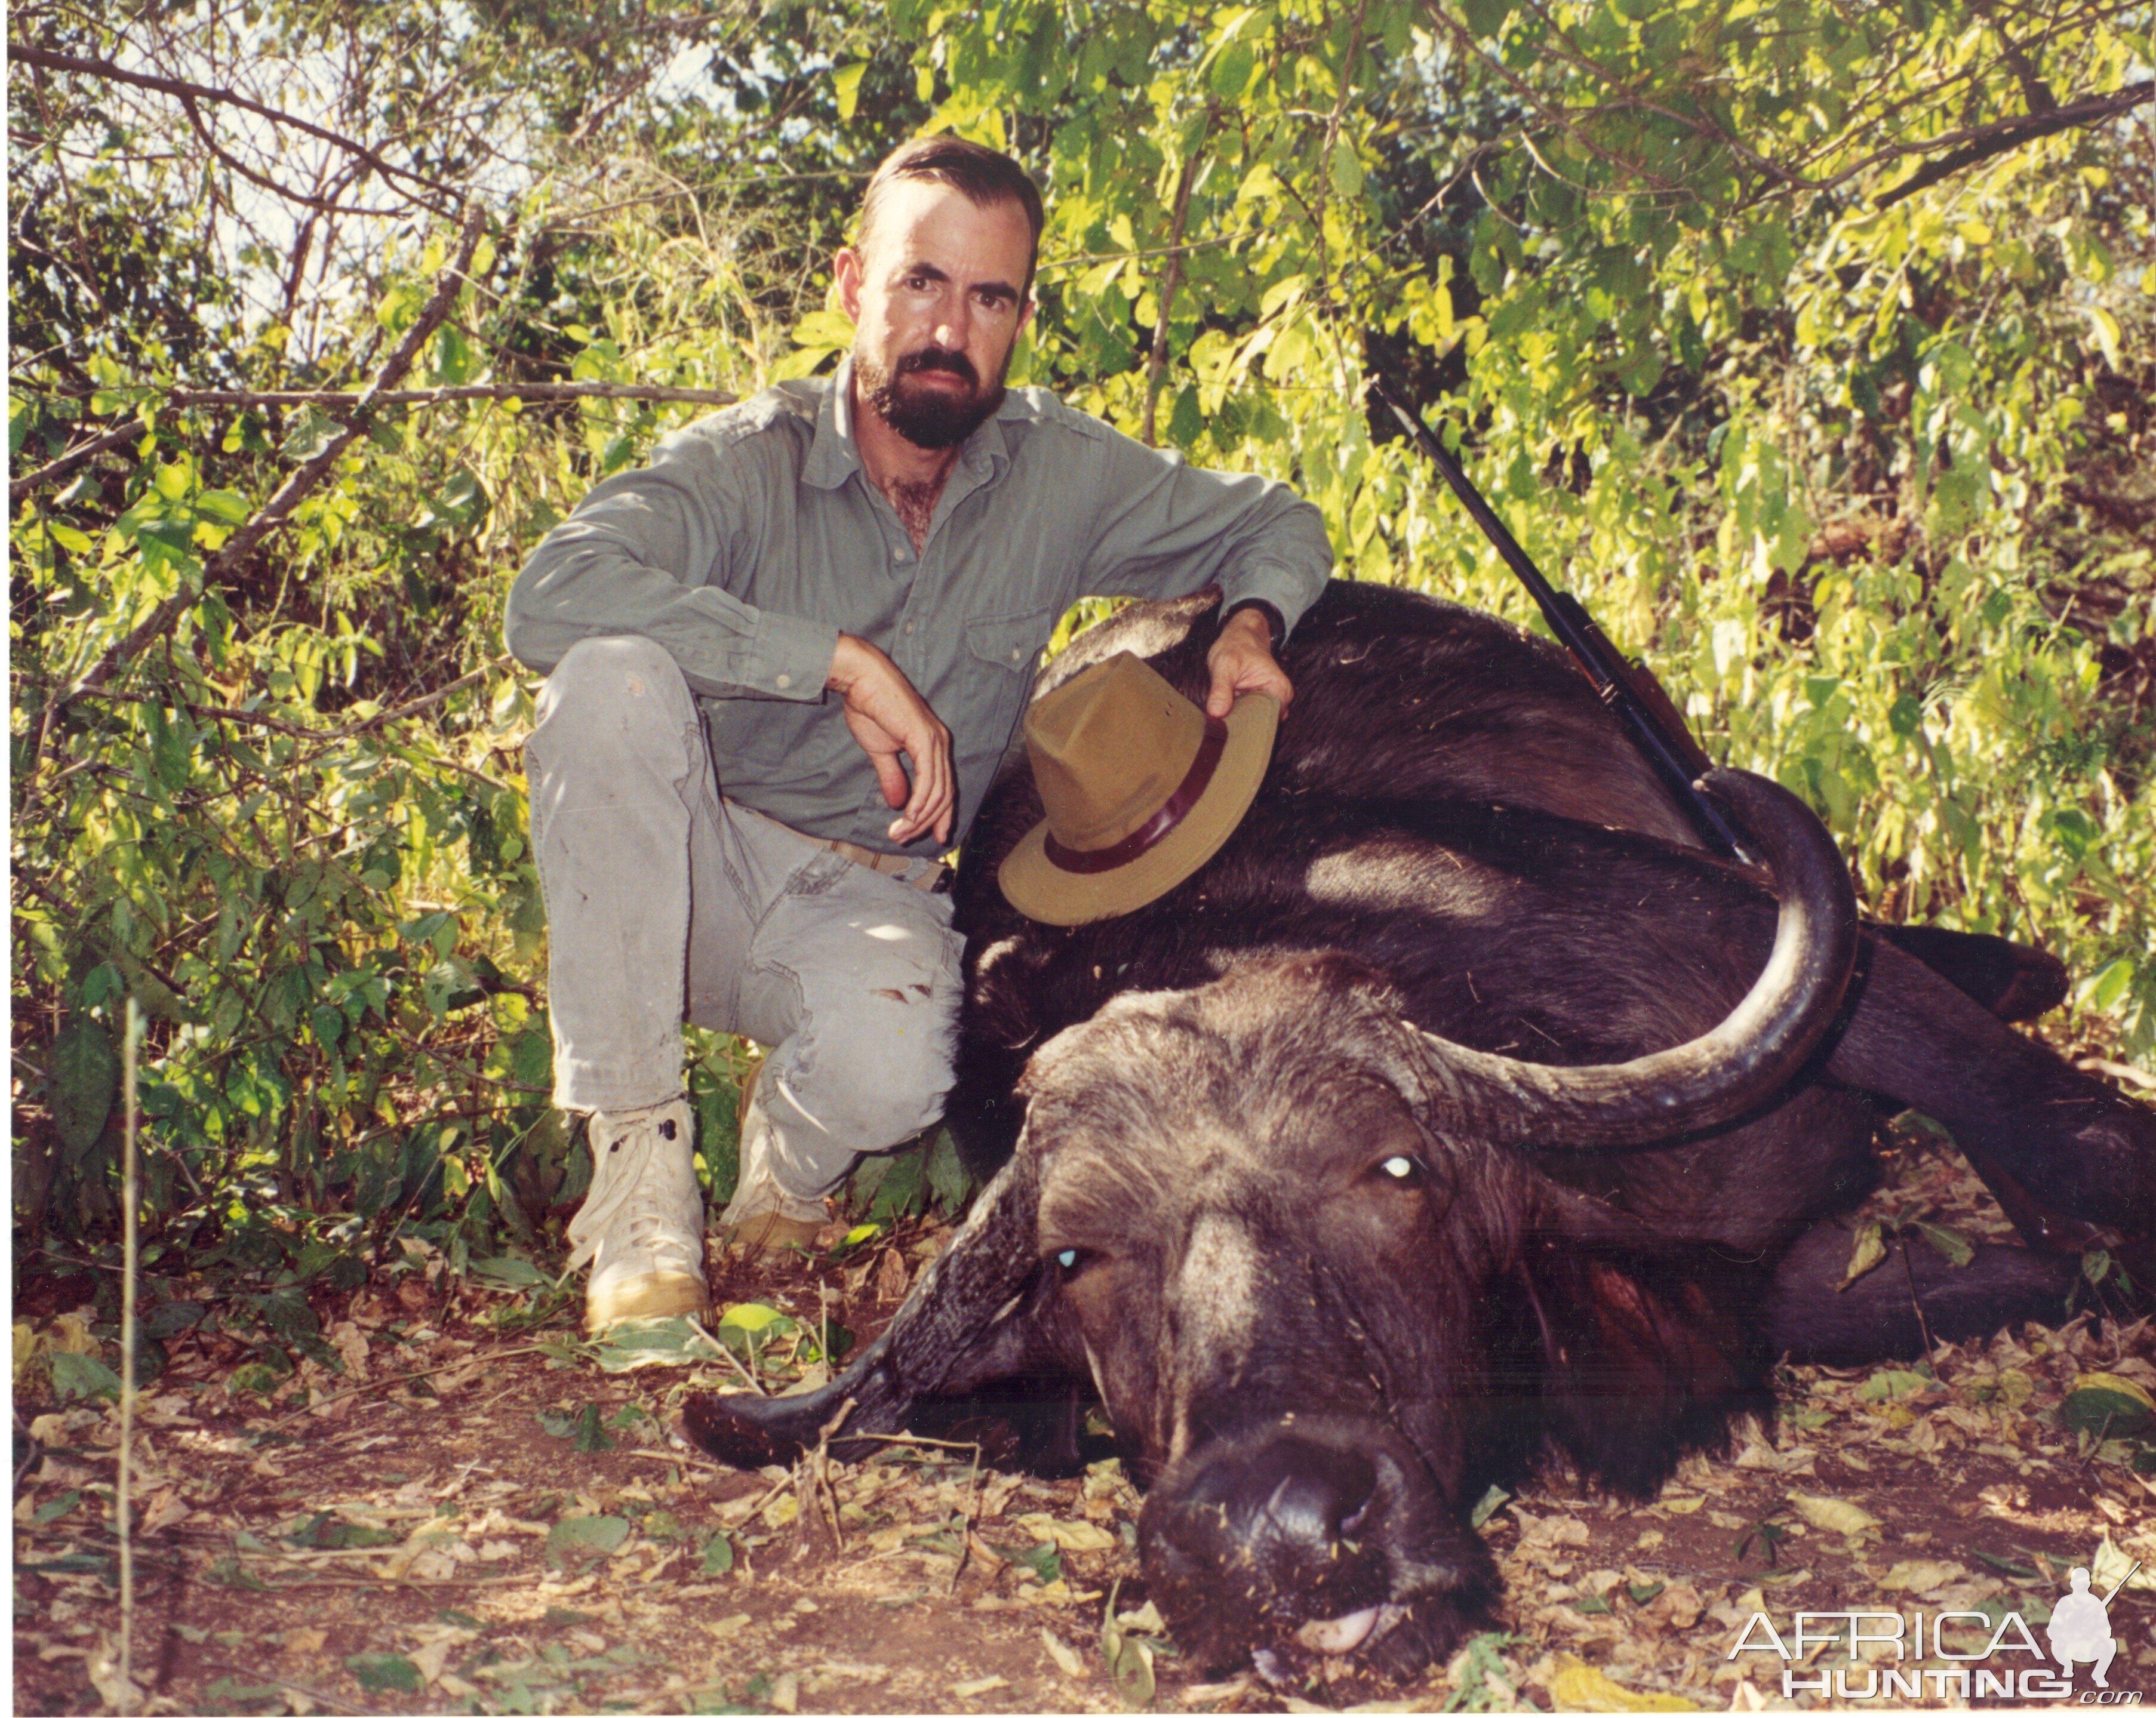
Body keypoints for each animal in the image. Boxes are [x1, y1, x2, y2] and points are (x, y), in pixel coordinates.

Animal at [694, 577, 2156, 1673]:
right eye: (1073, 1257)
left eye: (1393, 1167)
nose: (1270, 1532)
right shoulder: (1789, 1280)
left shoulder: (1782, 972)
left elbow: (2083, 1145)